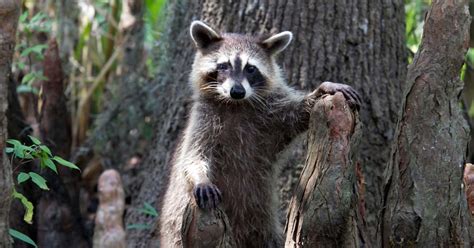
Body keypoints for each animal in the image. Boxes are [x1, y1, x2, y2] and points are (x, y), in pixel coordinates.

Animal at [158, 20, 360, 247]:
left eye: (251, 69)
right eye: (224, 66)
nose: (237, 91)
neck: (236, 105)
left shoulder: (270, 115)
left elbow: (297, 114)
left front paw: (322, 89)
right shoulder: (204, 118)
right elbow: (193, 154)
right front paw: (200, 177)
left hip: (260, 214)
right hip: (178, 226)